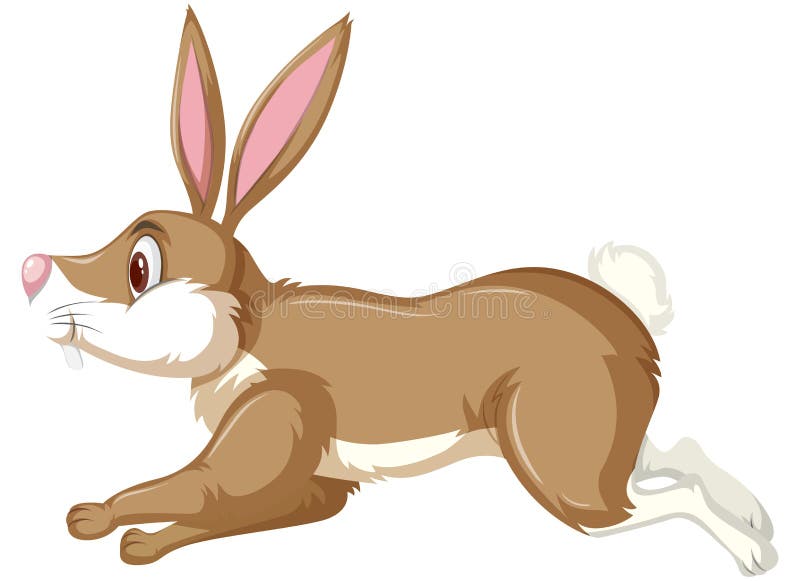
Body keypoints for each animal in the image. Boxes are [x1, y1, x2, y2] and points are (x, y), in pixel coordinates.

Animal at [21, 7, 777, 574]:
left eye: (140, 264)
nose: (31, 270)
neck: (246, 332)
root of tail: (631, 322)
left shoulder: (270, 425)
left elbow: (194, 492)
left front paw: (107, 525)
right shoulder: (319, 484)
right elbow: (245, 510)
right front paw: (117, 532)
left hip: (560, 471)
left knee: (651, 502)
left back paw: (753, 554)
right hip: (607, 444)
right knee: (677, 453)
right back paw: (759, 518)